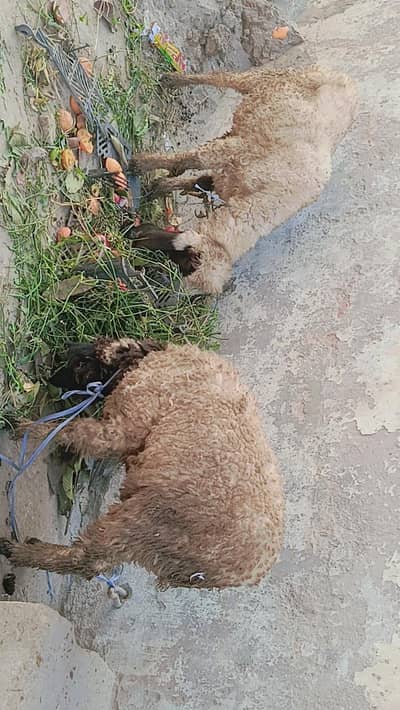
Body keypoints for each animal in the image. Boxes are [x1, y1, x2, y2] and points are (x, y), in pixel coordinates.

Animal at [0, 339, 284, 590]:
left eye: (81, 363)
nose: (51, 378)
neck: (147, 358)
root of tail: (240, 575)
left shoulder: (123, 428)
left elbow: (70, 430)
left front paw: (26, 428)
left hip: (144, 525)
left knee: (86, 561)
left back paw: (19, 551)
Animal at [126, 65, 358, 294]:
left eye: (181, 266)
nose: (132, 237)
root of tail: (344, 77)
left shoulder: (227, 173)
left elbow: (198, 181)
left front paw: (159, 186)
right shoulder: (236, 150)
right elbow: (194, 158)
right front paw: (140, 165)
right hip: (260, 79)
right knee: (221, 78)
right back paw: (172, 80)